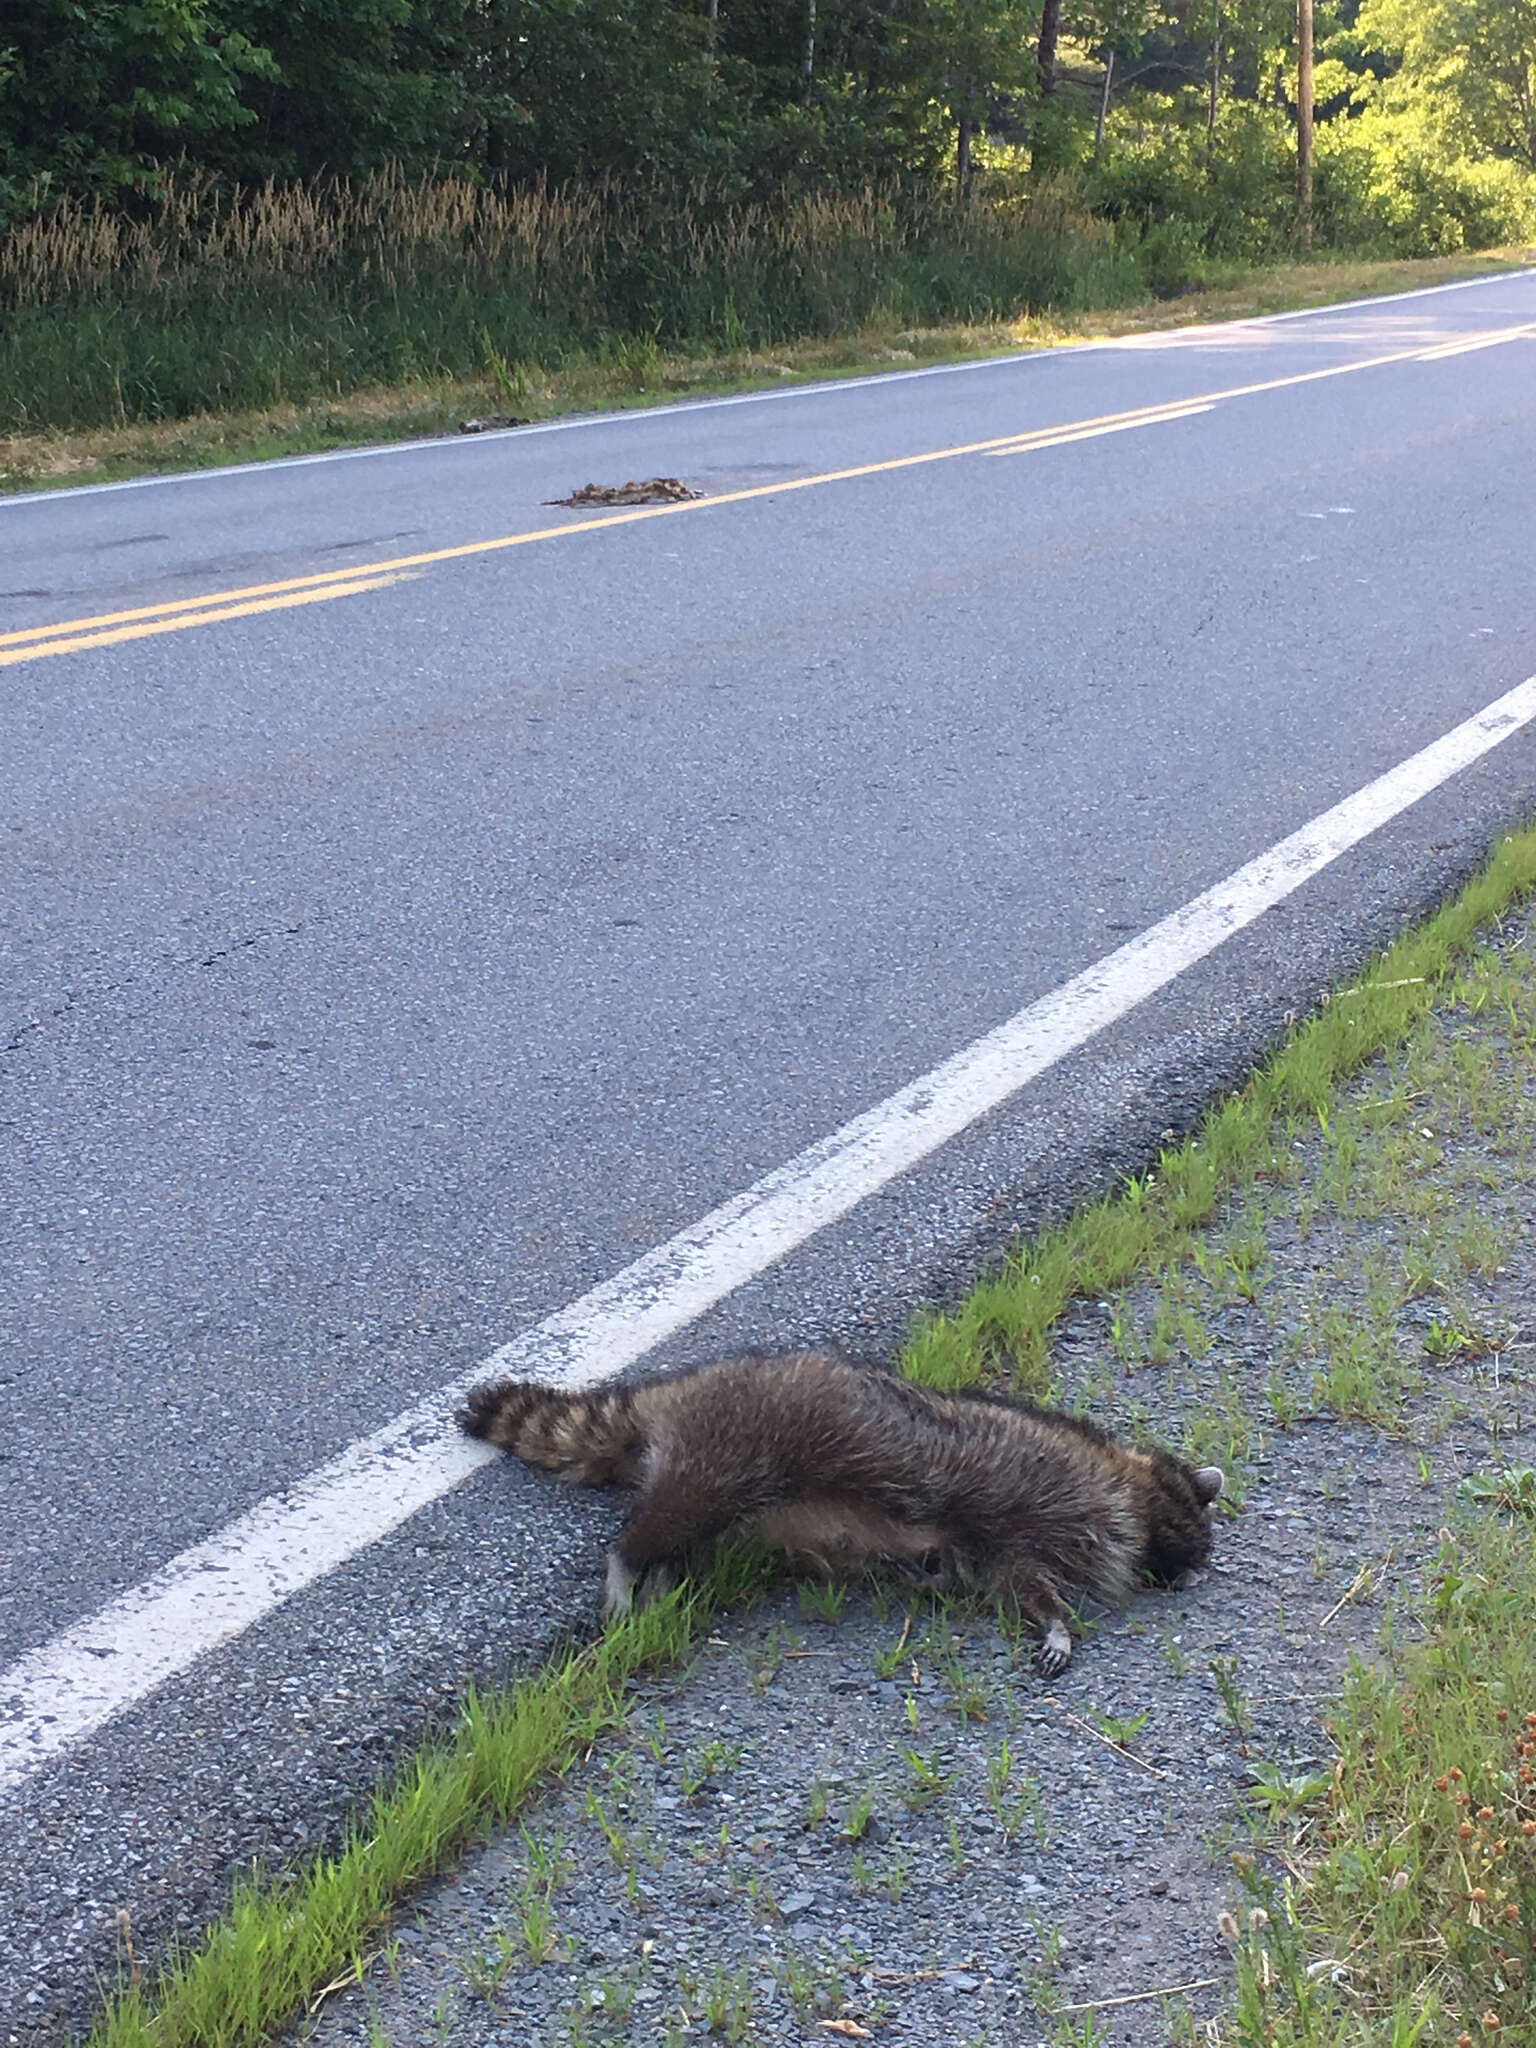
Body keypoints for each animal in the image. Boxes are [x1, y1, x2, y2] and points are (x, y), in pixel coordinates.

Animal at [460, 1351, 1228, 1671]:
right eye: (1189, 1528)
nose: (1196, 1568)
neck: (1121, 1480)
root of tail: (680, 1389)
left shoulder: (1009, 1546)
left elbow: (1015, 1584)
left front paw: (1052, 1624)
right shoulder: (1037, 1491)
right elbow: (1026, 1582)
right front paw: (1061, 1626)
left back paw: (660, 1579)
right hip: (734, 1445)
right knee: (672, 1516)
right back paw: (627, 1566)